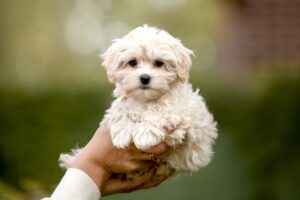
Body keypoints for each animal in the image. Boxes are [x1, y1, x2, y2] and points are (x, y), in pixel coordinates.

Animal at [59, 25, 218, 177]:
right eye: (132, 62)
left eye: (159, 63)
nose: (145, 78)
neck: (145, 99)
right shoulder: (123, 100)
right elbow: (120, 108)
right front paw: (121, 132)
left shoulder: (181, 111)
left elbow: (159, 110)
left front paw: (145, 133)